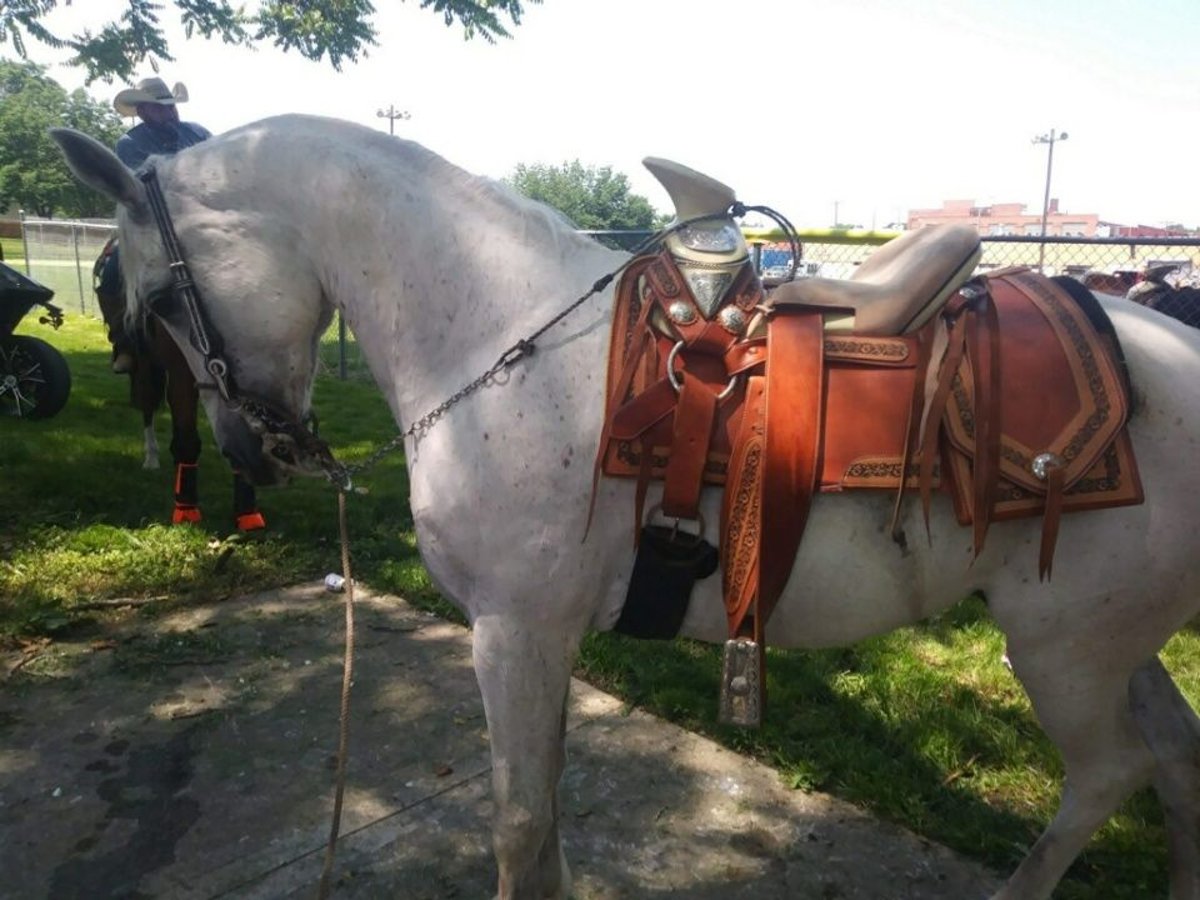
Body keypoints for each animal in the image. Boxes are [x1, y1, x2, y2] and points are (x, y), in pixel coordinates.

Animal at [58, 114, 1200, 900]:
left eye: (159, 296)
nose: (254, 449)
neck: (498, 334)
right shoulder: (545, 635)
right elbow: (549, 810)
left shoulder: (512, 631)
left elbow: (519, 821)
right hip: (1117, 646)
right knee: (1175, 761)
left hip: (1062, 651)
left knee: (1111, 774)